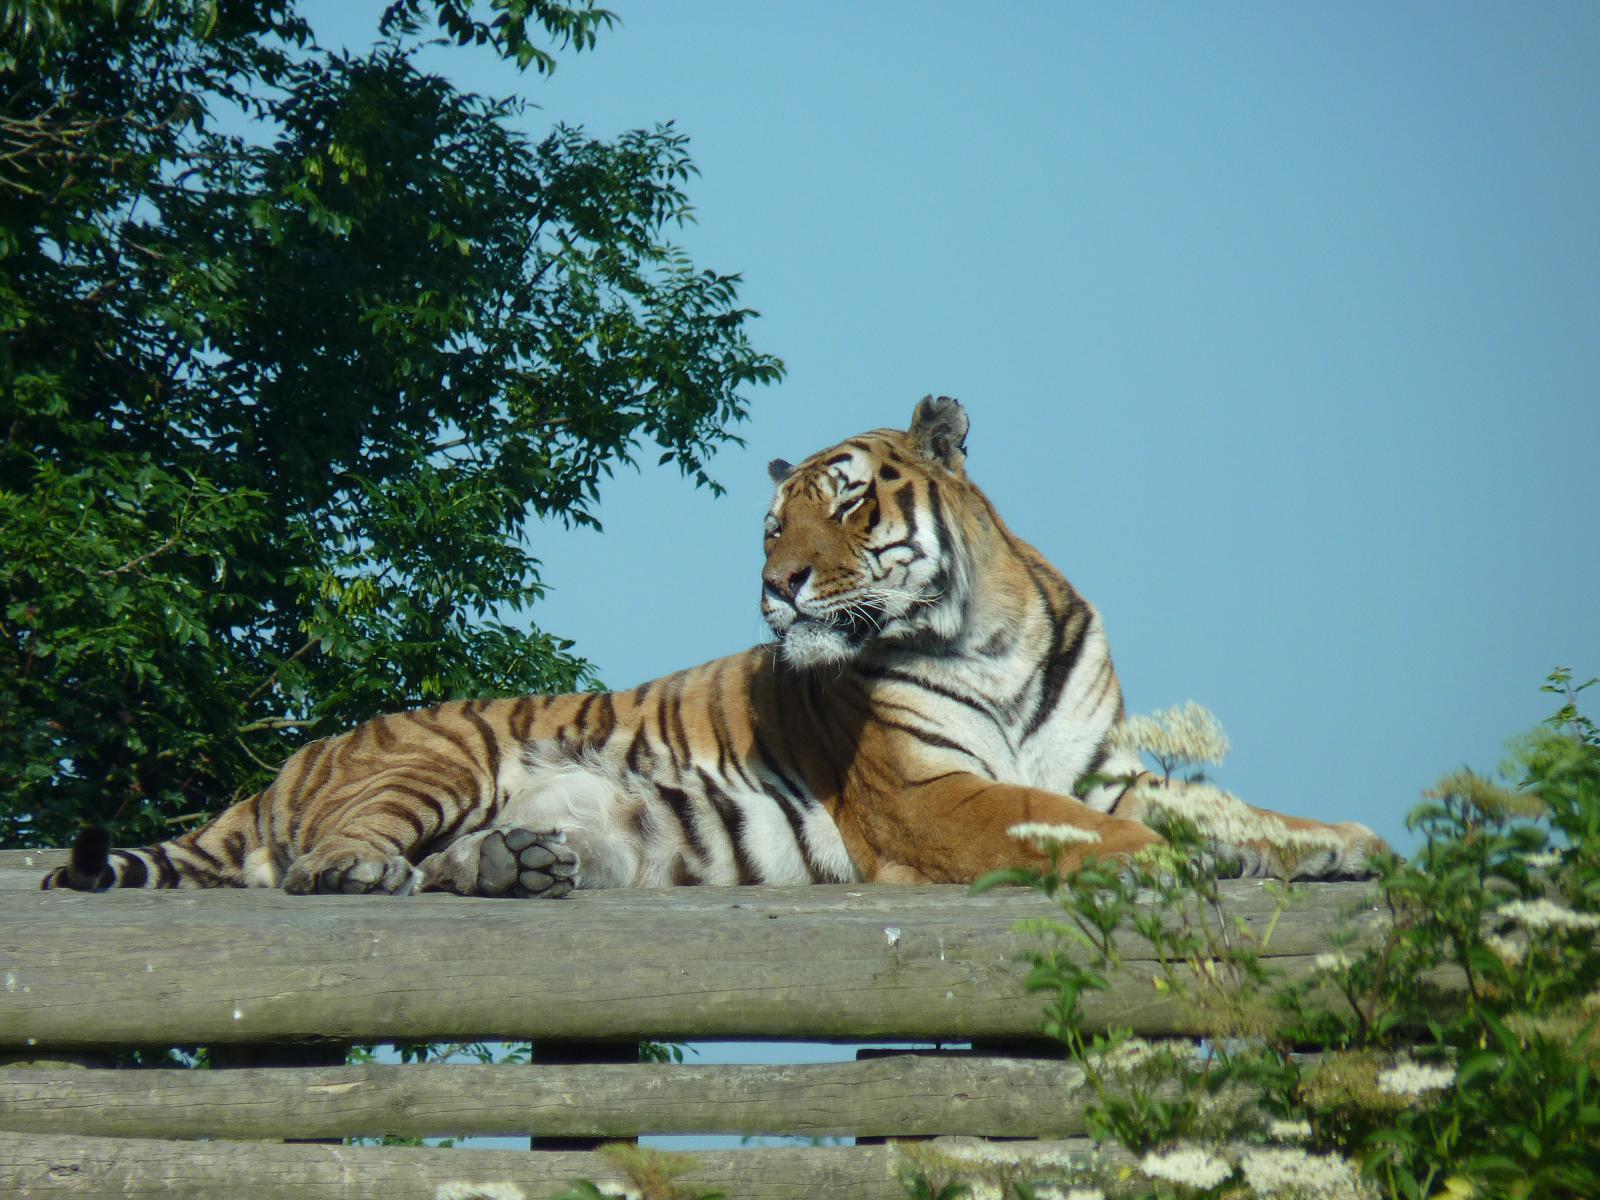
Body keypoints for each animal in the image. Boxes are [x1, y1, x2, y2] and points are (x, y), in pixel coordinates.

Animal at [43, 396, 1388, 898]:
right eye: (772, 522)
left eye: (844, 503)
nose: (775, 587)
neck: (988, 633)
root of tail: (284, 764)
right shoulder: (932, 797)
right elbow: (1076, 832)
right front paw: (1195, 867)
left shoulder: (1108, 766)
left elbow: (1229, 808)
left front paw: (1335, 844)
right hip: (433, 759)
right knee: (327, 862)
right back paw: (374, 874)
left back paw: (517, 868)